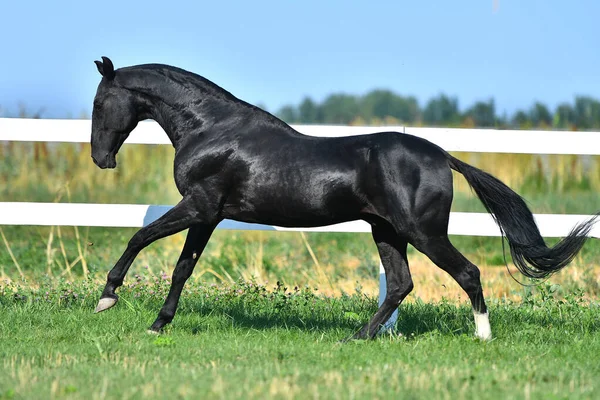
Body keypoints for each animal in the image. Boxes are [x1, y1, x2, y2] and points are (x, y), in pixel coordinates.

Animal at [91, 56, 596, 340]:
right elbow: (183, 268)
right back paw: (358, 337)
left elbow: (139, 238)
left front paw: (108, 297)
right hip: (387, 231)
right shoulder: (208, 215)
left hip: (423, 232)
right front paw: (158, 325)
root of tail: (441, 155)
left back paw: (483, 337)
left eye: (99, 103)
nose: (101, 159)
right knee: (400, 285)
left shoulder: (198, 206)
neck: (211, 130)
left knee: (467, 273)